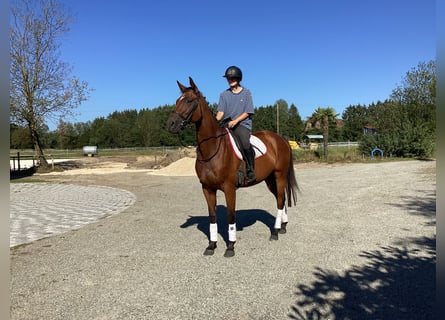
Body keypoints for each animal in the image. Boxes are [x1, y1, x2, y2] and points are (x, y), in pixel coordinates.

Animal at [166, 77, 298, 258]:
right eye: (177, 101)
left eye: (189, 101)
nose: (171, 124)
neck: (213, 148)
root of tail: (281, 139)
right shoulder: (207, 188)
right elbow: (212, 216)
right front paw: (211, 245)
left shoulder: (229, 189)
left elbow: (230, 216)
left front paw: (230, 246)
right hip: (270, 179)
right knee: (281, 198)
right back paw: (283, 226)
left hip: (280, 175)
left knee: (279, 199)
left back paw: (276, 231)